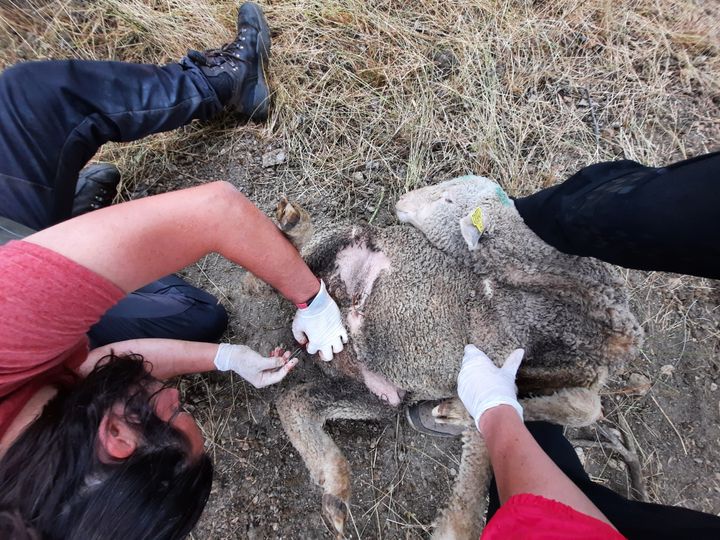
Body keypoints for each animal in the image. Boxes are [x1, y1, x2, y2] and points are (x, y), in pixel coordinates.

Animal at [272, 175, 640, 536]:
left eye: (447, 199)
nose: (403, 202)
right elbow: (482, 467)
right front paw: (455, 525)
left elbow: (580, 408)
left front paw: (452, 412)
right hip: (346, 241)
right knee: (300, 260)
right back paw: (294, 223)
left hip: (378, 394)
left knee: (297, 401)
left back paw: (334, 488)